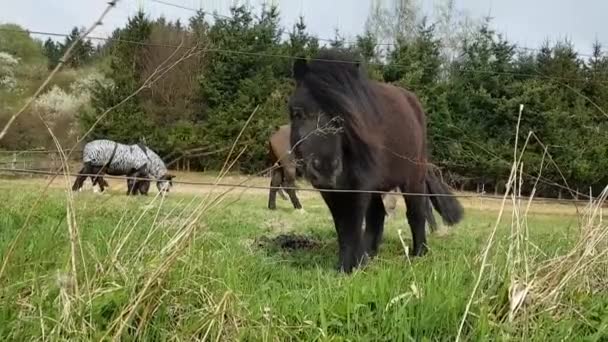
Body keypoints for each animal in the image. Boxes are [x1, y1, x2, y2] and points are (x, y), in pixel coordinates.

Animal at [288, 48, 464, 272]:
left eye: (343, 117)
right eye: (297, 113)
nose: (326, 168)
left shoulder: (359, 186)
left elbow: (352, 224)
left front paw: (349, 268)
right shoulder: (332, 190)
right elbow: (342, 226)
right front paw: (351, 264)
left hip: (413, 178)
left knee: (416, 213)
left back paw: (419, 253)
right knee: (378, 215)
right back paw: (370, 254)